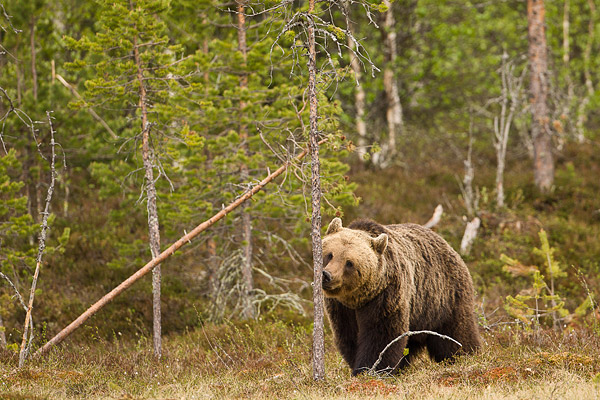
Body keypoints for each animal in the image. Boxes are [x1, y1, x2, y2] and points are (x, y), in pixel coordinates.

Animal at [322, 217, 480, 374]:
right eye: (330, 254)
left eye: (349, 263)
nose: (327, 275)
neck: (358, 299)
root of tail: (450, 247)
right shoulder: (341, 307)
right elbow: (349, 335)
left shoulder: (385, 295)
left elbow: (381, 335)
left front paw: (370, 369)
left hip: (443, 298)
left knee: (456, 333)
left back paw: (466, 355)